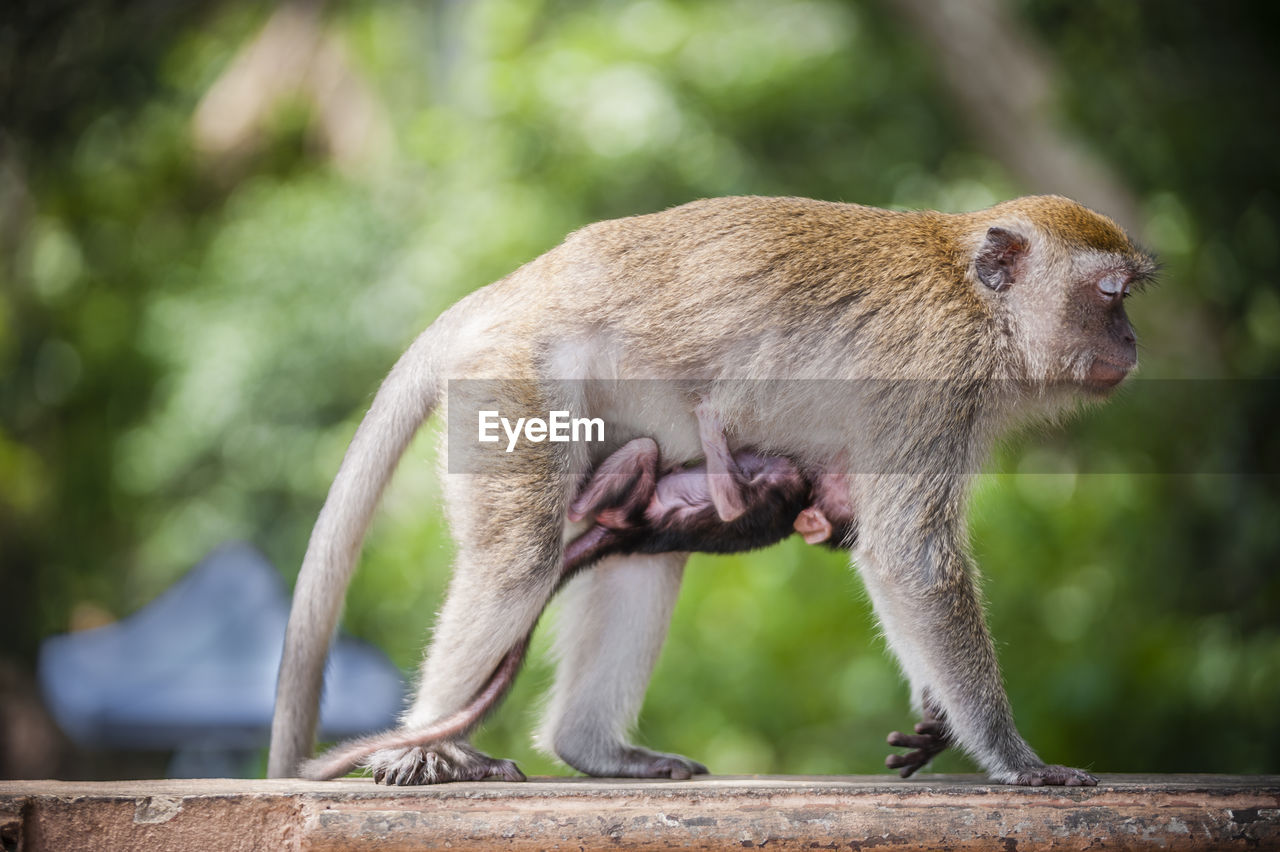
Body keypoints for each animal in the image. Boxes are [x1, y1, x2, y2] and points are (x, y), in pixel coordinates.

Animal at [302, 434, 860, 777]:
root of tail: (630, 535)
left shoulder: (779, 493)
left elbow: (730, 502)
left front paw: (711, 431)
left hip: (628, 509)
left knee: (635, 460)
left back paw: (581, 503)